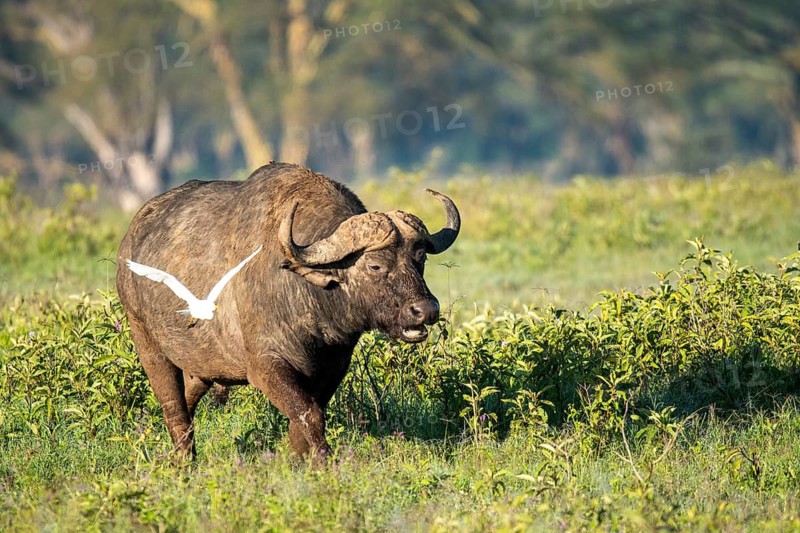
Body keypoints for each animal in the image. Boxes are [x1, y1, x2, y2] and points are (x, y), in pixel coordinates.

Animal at [116, 162, 460, 458]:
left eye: (420, 259)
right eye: (374, 265)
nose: (425, 310)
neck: (309, 297)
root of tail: (129, 240)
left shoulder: (334, 367)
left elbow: (306, 417)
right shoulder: (267, 367)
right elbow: (308, 414)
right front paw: (323, 461)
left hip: (203, 364)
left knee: (187, 400)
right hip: (148, 344)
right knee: (173, 408)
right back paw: (184, 460)